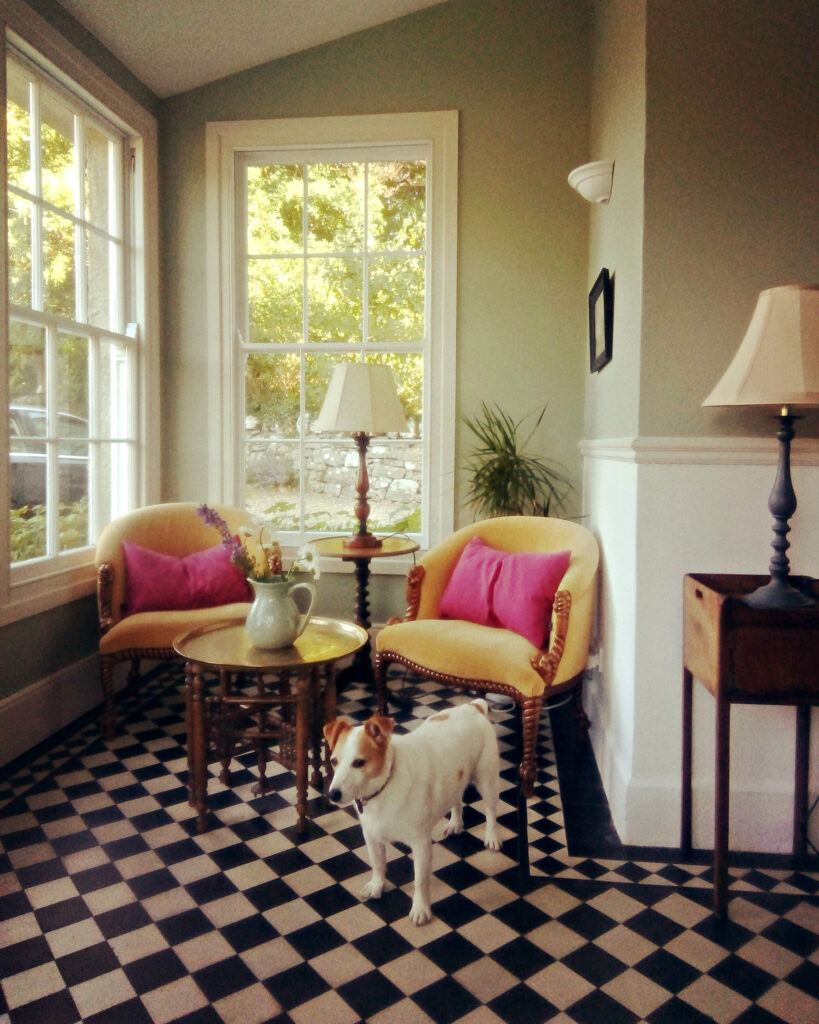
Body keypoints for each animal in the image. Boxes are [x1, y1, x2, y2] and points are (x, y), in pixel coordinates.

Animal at [323, 700, 501, 925]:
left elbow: (420, 880)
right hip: (455, 782)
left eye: (359, 763)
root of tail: (472, 706)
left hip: (487, 780)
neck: (385, 785)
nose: (333, 794)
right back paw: (455, 823)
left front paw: (420, 909)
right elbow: (378, 864)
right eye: (334, 761)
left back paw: (492, 837)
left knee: (491, 811)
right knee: (457, 801)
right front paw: (377, 886)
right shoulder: (372, 837)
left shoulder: (421, 844)